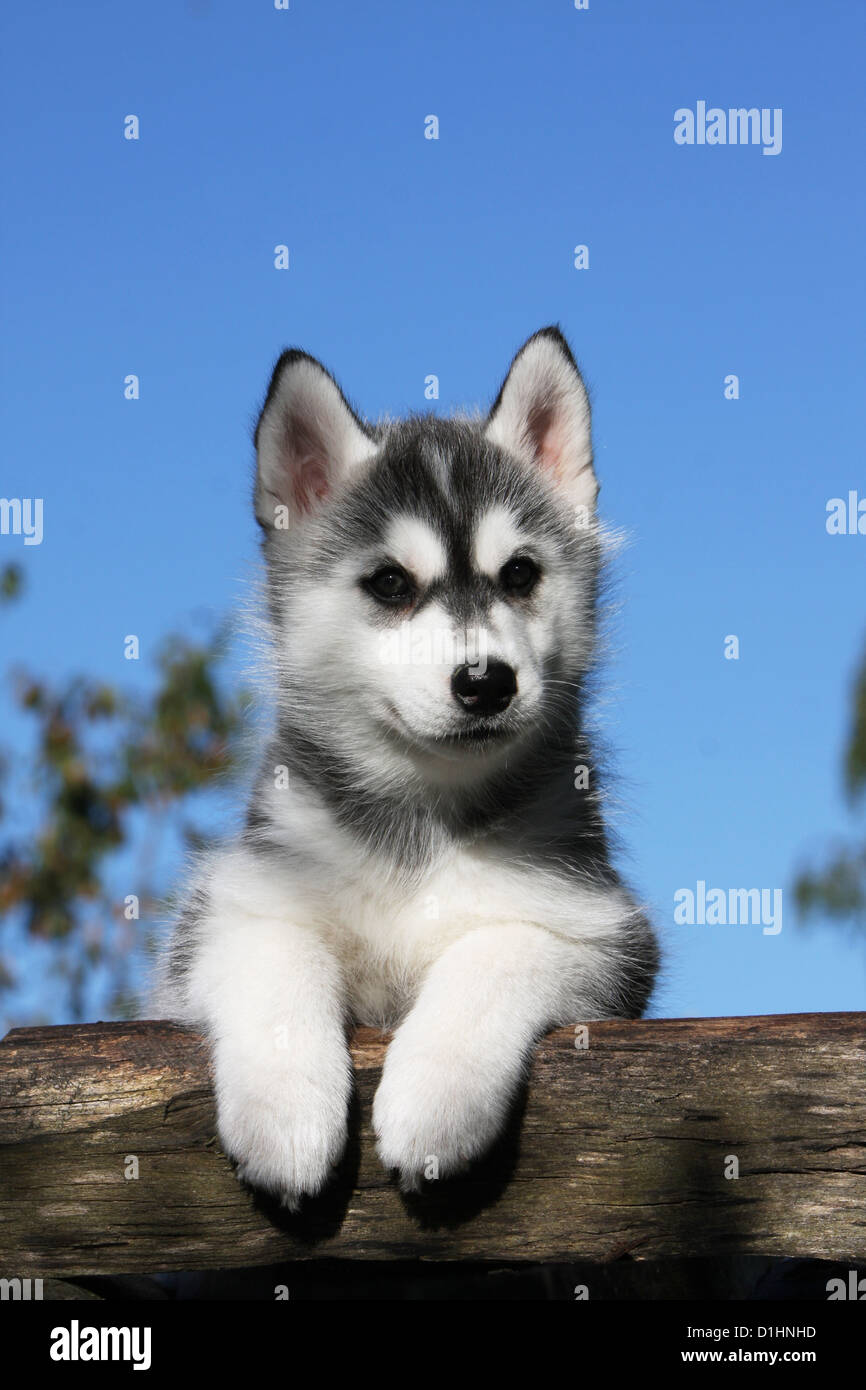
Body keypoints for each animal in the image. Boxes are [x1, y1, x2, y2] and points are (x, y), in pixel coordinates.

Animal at [154, 325, 656, 1206]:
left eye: (520, 573)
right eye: (390, 583)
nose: (487, 682)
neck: (424, 818)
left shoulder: (597, 925)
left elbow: (494, 952)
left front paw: (433, 1097)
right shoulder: (228, 905)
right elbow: (278, 954)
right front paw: (287, 1113)